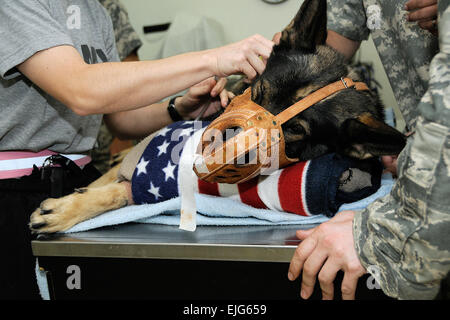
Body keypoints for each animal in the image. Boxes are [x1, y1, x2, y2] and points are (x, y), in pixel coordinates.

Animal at [29, 0, 406, 234]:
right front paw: (71, 203)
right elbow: (103, 182)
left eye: (295, 130)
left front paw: (68, 208)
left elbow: (120, 190)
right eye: (259, 92)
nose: (216, 148)